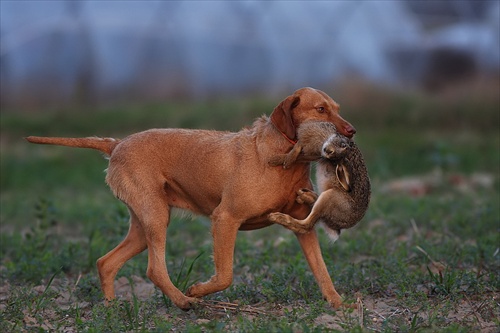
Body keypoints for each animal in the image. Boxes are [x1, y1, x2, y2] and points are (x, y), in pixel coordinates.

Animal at [26, 86, 356, 308]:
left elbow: (322, 271)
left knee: (106, 262)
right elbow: (225, 275)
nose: (351, 132)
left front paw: (338, 304)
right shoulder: (225, 220)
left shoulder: (304, 227)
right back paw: (183, 301)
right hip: (156, 218)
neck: (284, 157)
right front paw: (197, 290)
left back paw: (111, 308)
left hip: (143, 225)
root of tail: (117, 143)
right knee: (154, 269)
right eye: (321, 110)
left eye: (337, 107)